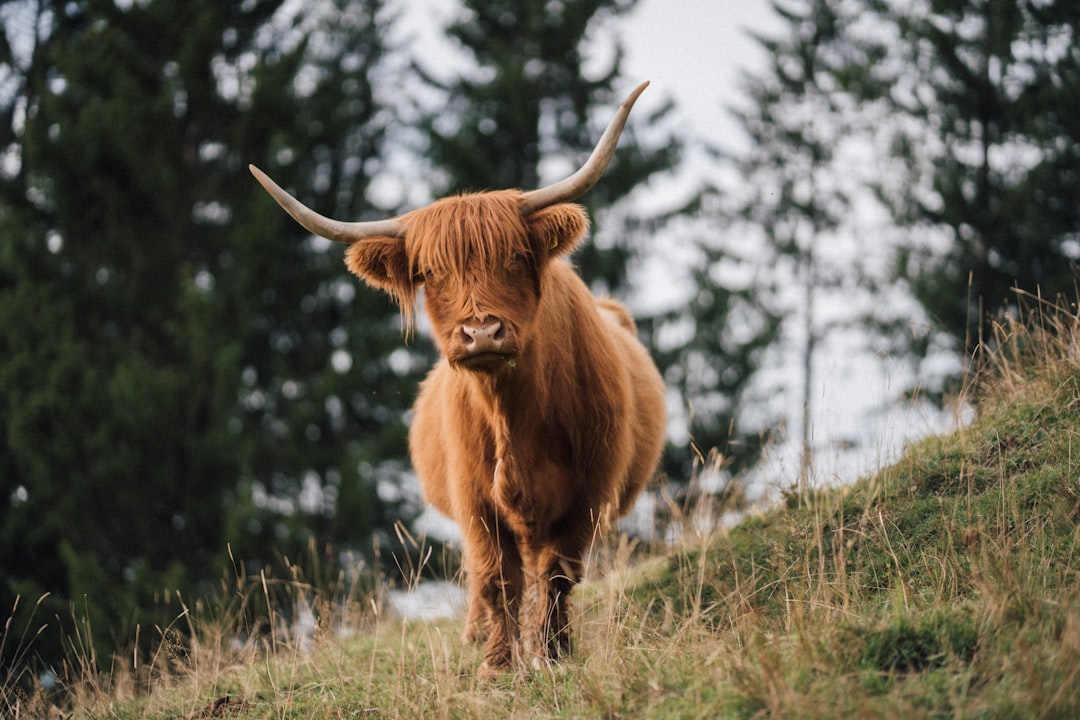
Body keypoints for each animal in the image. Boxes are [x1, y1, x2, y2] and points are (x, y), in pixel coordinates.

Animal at [249, 82, 666, 675]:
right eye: (429, 273)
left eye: (514, 255)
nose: (481, 333)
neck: (514, 415)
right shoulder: (474, 500)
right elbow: (496, 578)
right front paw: (498, 663)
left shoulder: (588, 492)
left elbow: (558, 574)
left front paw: (553, 653)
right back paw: (476, 635)